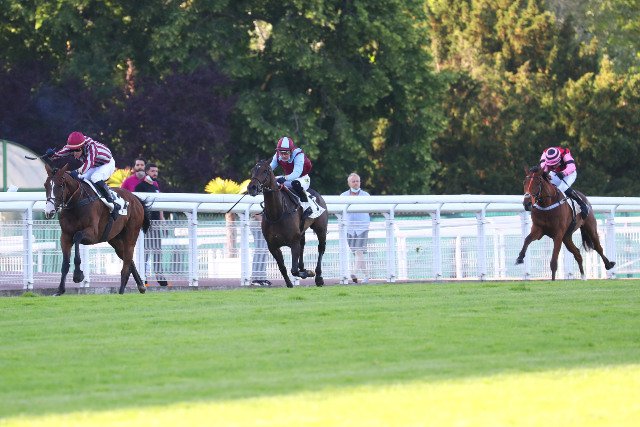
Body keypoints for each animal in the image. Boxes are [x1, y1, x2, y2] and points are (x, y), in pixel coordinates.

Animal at [43, 160, 152, 295]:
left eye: (60, 185)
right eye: (45, 185)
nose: (49, 211)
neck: (76, 202)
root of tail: (135, 198)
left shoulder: (93, 234)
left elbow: (77, 237)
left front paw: (78, 275)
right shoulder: (65, 236)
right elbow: (65, 264)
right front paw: (60, 290)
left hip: (131, 234)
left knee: (127, 260)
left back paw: (121, 290)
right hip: (115, 239)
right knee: (128, 258)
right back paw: (141, 286)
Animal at [246, 159, 328, 287]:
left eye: (265, 171)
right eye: (253, 170)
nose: (252, 187)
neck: (277, 214)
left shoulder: (293, 242)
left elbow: (294, 270)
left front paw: (308, 273)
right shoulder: (272, 246)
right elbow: (282, 267)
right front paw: (290, 282)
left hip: (321, 228)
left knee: (321, 248)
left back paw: (319, 277)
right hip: (302, 231)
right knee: (303, 246)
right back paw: (304, 268)